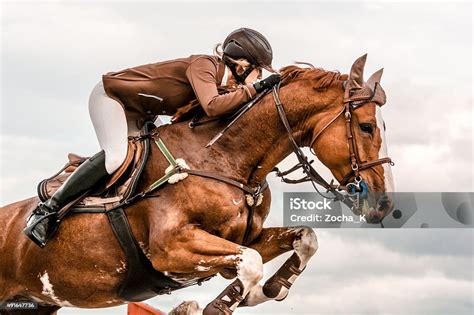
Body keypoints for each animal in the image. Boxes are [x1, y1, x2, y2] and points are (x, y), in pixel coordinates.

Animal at [0, 55, 392, 314]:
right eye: (367, 127)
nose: (384, 204)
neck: (224, 158)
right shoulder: (171, 246)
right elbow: (251, 263)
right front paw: (230, 301)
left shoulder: (243, 238)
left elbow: (304, 239)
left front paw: (265, 290)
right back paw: (41, 221)